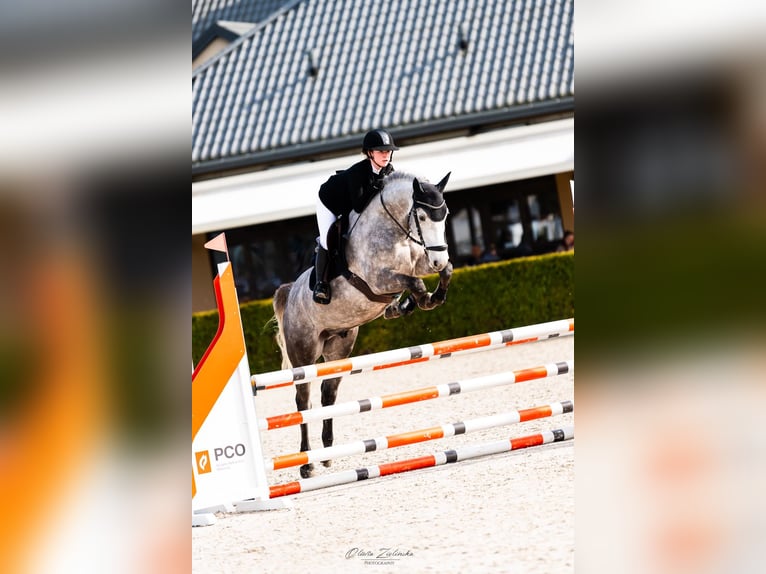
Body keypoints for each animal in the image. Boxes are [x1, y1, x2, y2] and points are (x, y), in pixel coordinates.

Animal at [272, 171, 453, 478]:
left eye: (445, 215)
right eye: (423, 217)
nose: (438, 259)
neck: (395, 230)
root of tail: (291, 291)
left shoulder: (419, 262)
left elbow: (444, 272)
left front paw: (428, 298)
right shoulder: (380, 280)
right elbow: (413, 282)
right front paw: (422, 299)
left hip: (338, 348)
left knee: (328, 393)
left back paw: (327, 454)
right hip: (304, 352)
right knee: (303, 399)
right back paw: (307, 464)